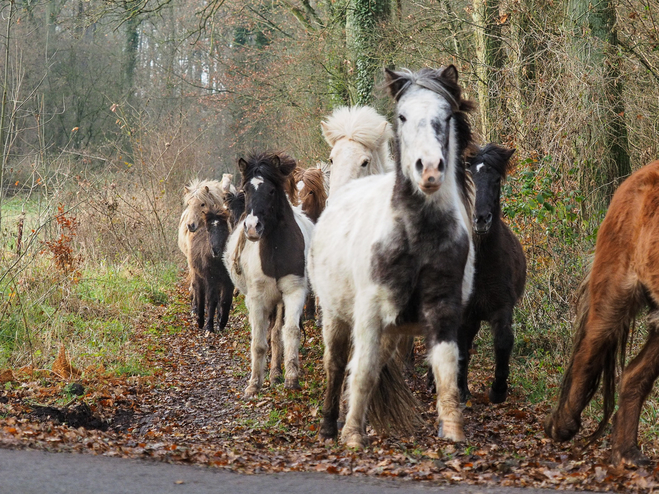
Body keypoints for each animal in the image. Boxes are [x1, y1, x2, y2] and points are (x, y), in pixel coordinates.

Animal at [224, 152, 314, 400]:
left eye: (272, 191)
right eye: (246, 190)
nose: (252, 228)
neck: (274, 250)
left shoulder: (294, 292)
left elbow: (289, 332)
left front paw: (292, 379)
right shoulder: (257, 299)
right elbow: (258, 342)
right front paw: (254, 384)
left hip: (280, 300)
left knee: (276, 333)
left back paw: (276, 373)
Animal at [310, 65, 474, 448]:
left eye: (447, 115)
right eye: (402, 116)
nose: (429, 169)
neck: (417, 236)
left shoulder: (444, 309)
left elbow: (446, 369)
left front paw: (453, 432)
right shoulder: (369, 313)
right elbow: (362, 371)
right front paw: (352, 436)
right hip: (336, 316)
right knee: (338, 365)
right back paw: (329, 425)